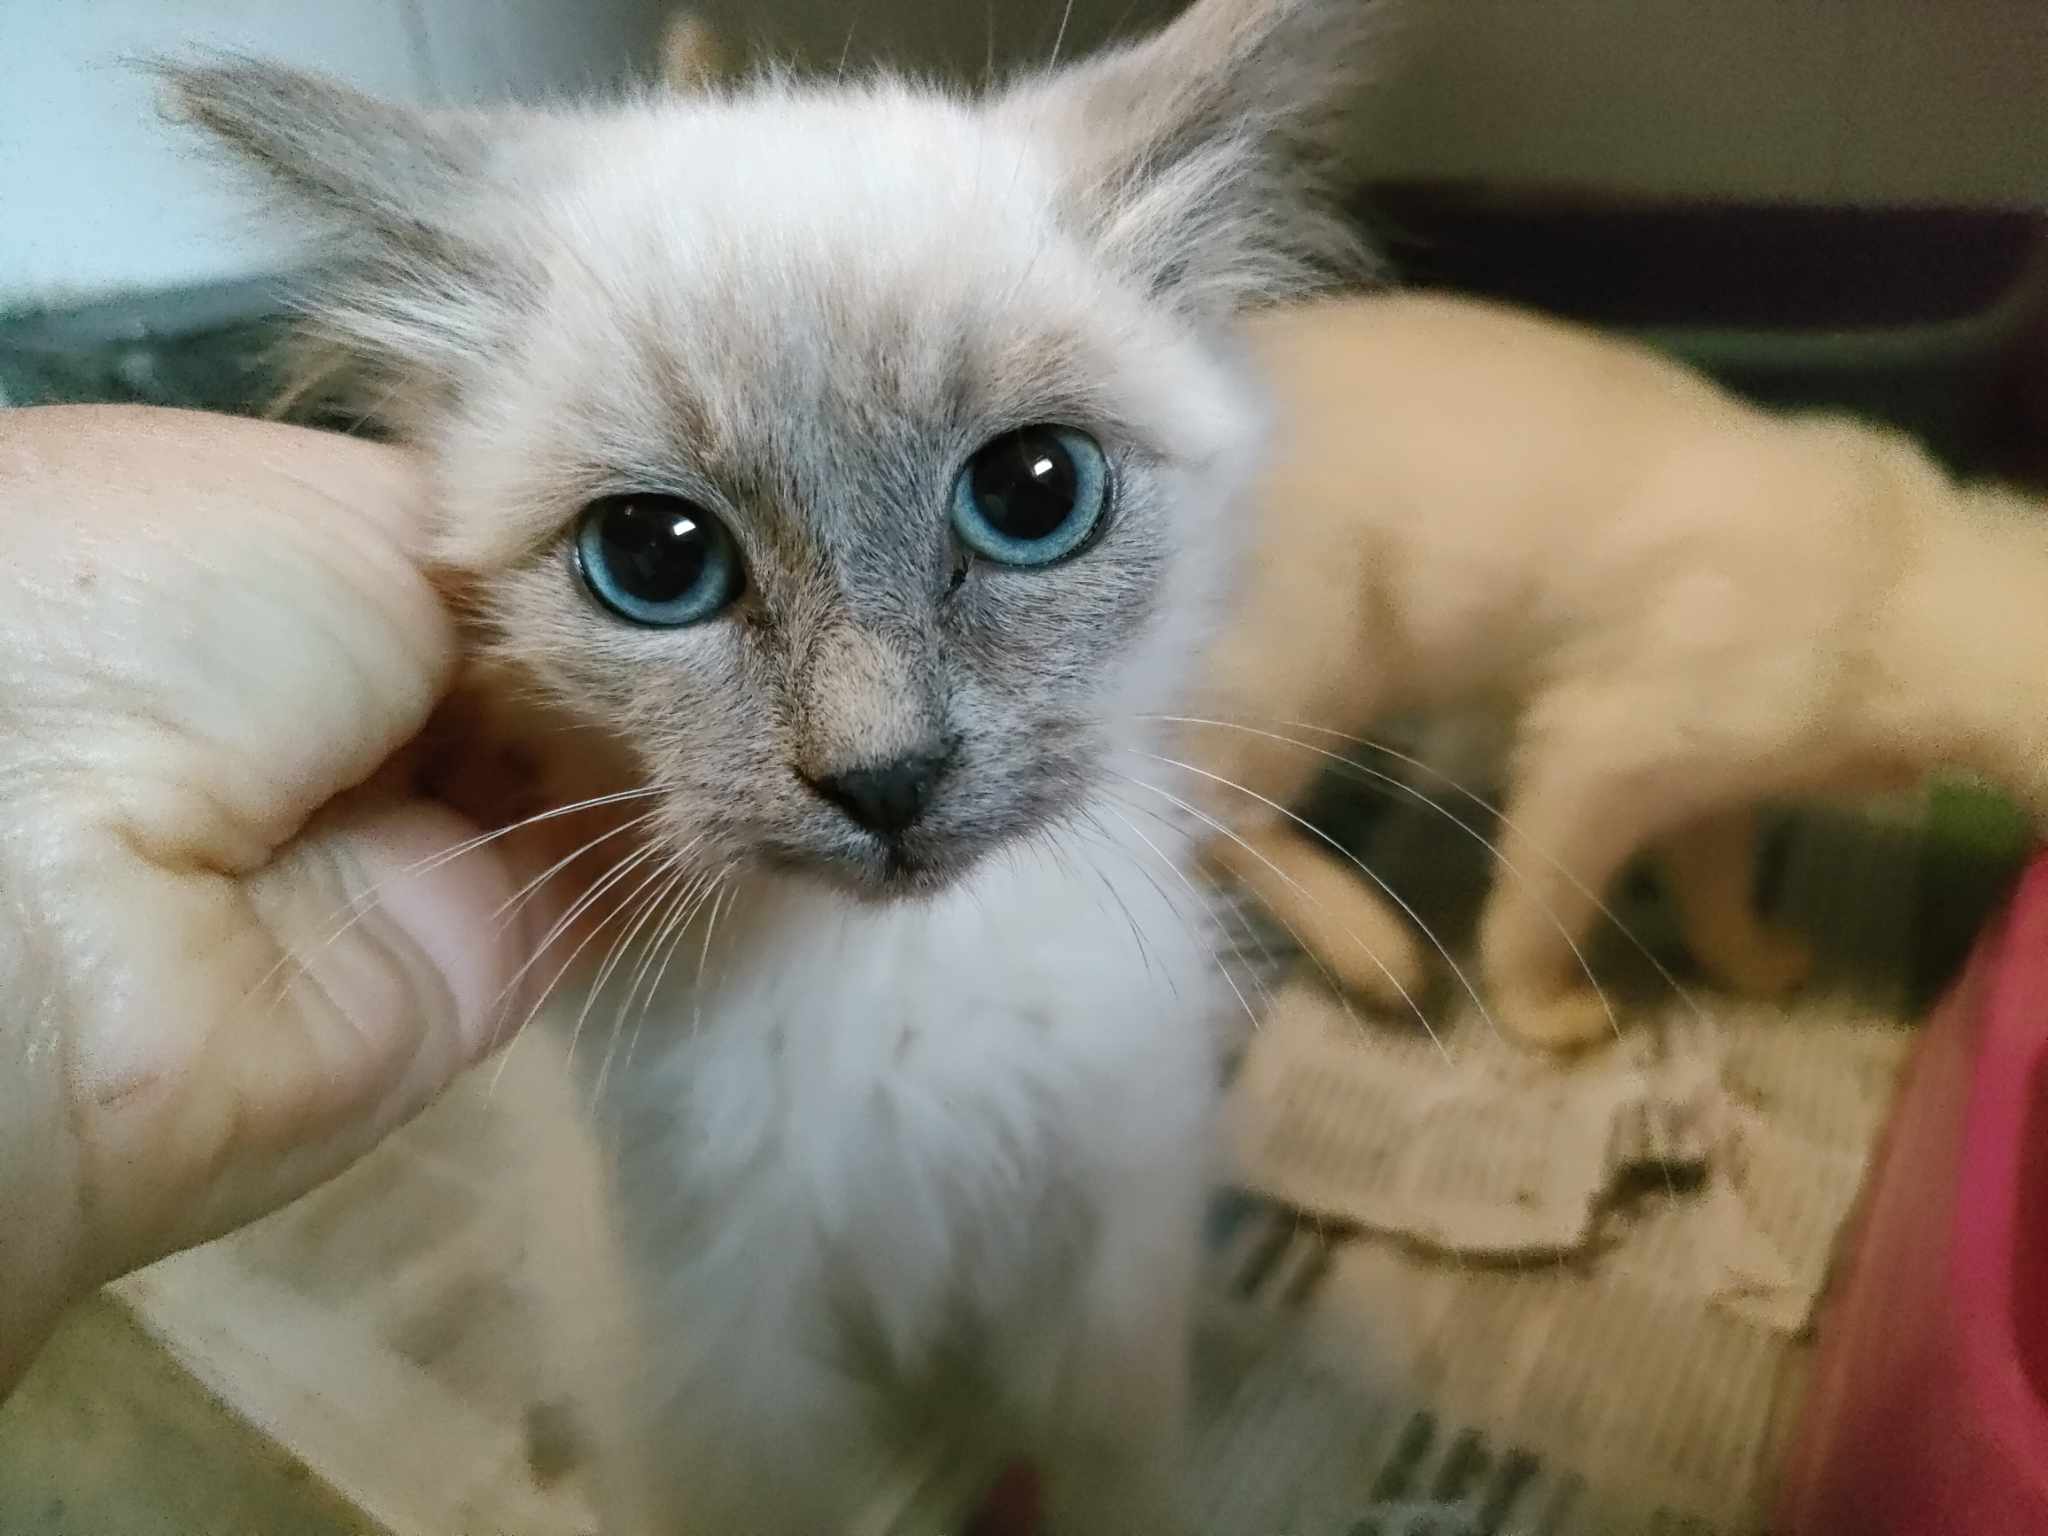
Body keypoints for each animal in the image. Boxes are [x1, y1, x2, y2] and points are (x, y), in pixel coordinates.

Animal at [167, 1, 1377, 1530]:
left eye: (1033, 493)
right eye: (655, 560)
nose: (884, 778)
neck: (897, 986)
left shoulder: (1104, 1247)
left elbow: (1110, 1472)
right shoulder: (721, 1347)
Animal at [1187, 289, 2048, 1051]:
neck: (1909, 569)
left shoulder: (1710, 783)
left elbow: (1716, 887)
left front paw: (1752, 961)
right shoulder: (1597, 746)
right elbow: (1540, 904)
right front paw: (1542, 1012)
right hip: (1313, 650)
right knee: (1210, 814)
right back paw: (1371, 948)